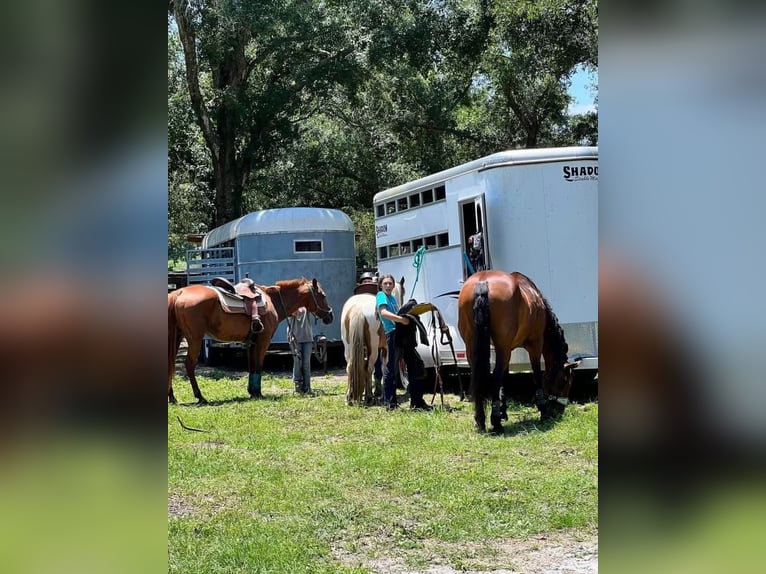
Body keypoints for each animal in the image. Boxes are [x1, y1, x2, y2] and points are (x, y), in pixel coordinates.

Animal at [168, 276, 332, 402]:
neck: (272, 300)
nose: (330, 316)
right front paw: (257, 392)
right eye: (323, 295)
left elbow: (251, 365)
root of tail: (179, 292)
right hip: (194, 338)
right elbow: (258, 365)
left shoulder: (251, 342)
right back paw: (200, 397)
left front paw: (252, 391)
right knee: (189, 365)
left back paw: (172, 397)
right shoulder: (263, 340)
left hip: (177, 336)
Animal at [460, 272, 580, 434]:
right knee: (495, 375)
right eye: (565, 381)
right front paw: (543, 411)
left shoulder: (508, 349)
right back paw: (496, 423)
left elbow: (504, 378)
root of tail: (483, 281)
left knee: (479, 375)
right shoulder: (535, 343)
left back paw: (481, 421)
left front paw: (503, 411)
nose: (559, 410)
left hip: (473, 345)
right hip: (502, 346)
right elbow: (537, 374)